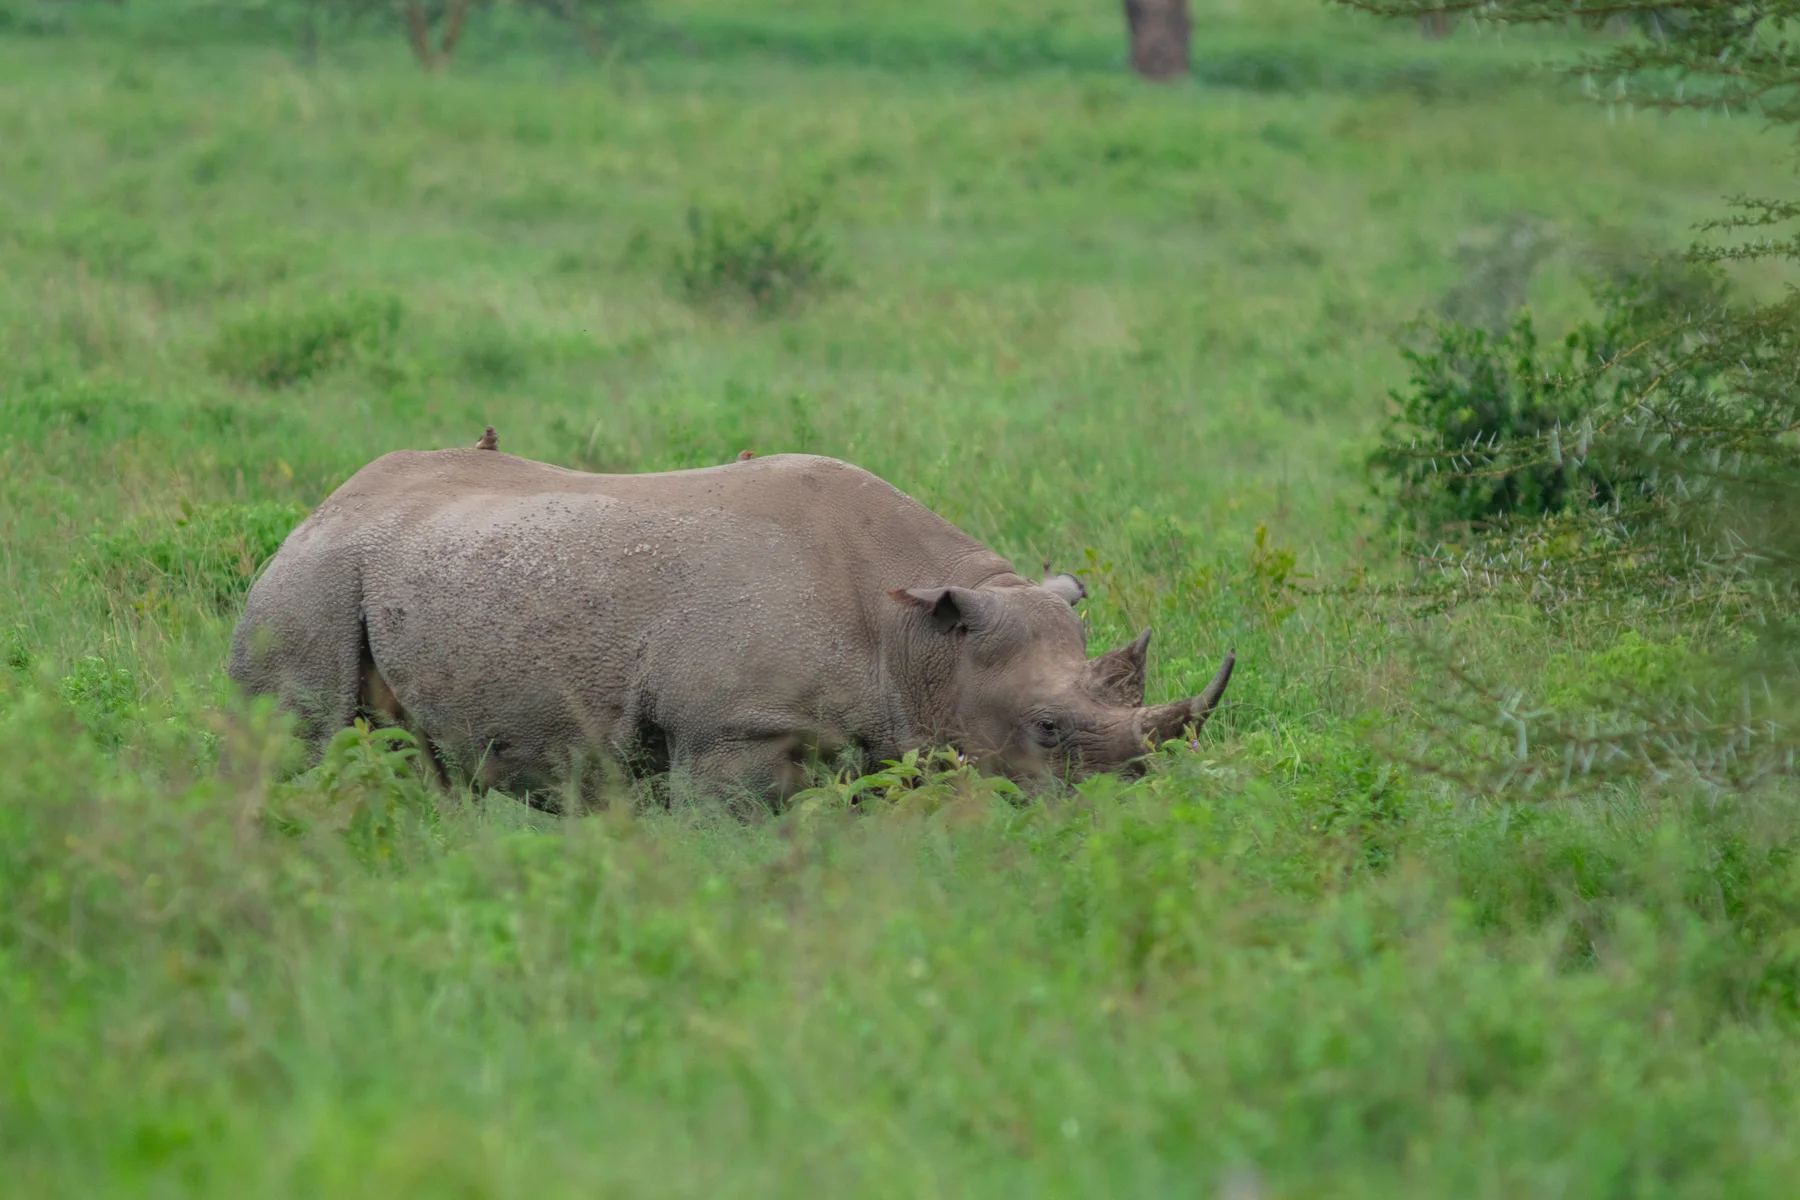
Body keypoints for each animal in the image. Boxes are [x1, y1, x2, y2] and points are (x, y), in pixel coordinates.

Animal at [229, 445, 1234, 804]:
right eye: (1048, 729)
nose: (1130, 805)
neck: (921, 637)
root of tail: (318, 506)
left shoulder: (870, 738)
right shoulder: (733, 732)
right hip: (311, 582)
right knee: (299, 738)